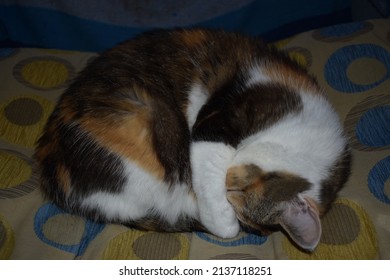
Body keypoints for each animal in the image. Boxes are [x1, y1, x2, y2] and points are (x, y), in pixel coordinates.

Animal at [34, 29, 350, 252]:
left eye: (243, 198)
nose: (228, 187)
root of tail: (52, 171)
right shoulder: (218, 124)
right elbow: (214, 195)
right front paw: (225, 220)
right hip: (146, 131)